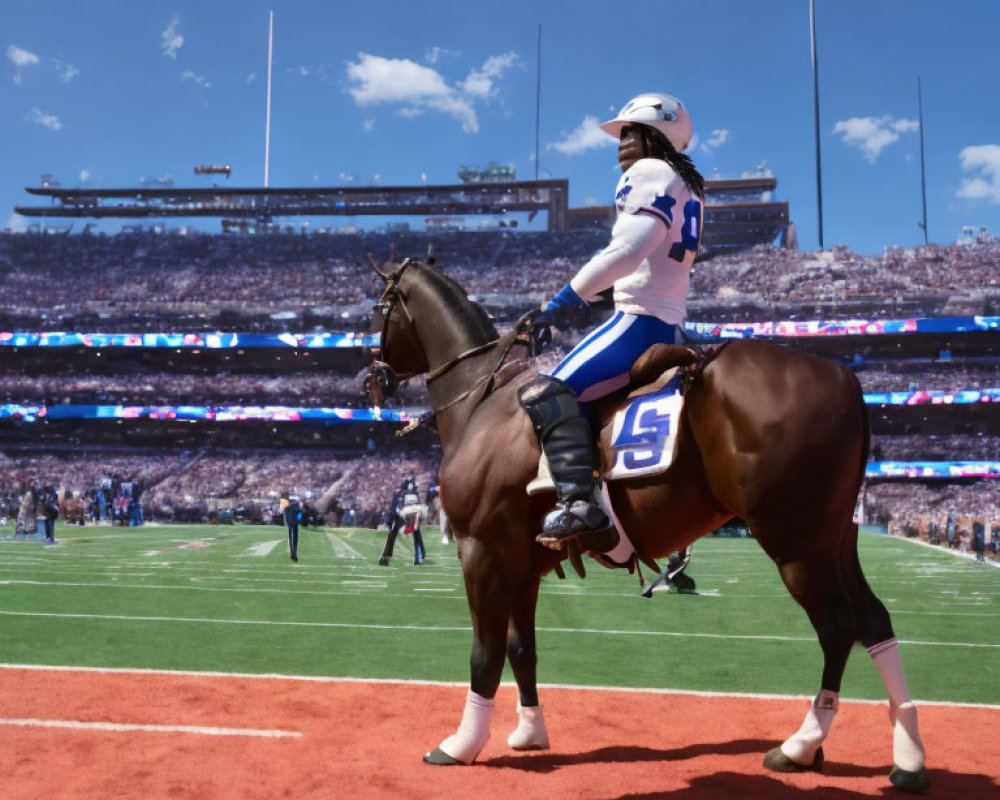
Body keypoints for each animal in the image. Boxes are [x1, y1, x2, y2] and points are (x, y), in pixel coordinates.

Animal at [368, 258, 928, 792]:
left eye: (380, 307)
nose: (370, 378)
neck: (483, 397)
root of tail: (844, 376)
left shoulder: (480, 552)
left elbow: (483, 653)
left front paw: (461, 744)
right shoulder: (523, 566)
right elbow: (521, 648)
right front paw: (530, 732)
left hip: (795, 541)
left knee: (837, 627)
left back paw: (801, 745)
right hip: (835, 538)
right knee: (874, 620)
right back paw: (908, 757)